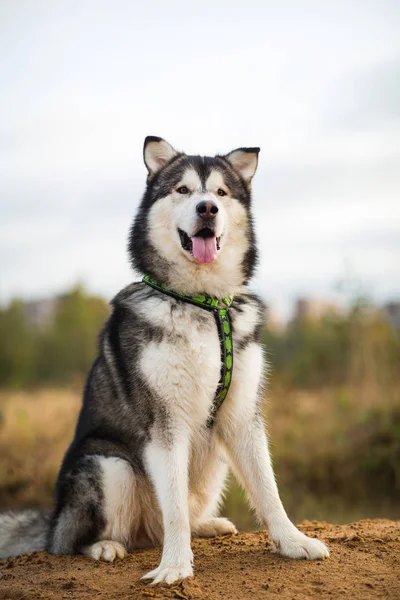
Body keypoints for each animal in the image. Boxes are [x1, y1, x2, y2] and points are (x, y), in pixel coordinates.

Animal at [0, 138, 328, 584]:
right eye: (183, 190)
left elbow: (268, 488)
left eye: (221, 192)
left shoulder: (243, 414)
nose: (208, 208)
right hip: (108, 466)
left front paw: (294, 542)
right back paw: (105, 546)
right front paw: (174, 566)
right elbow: (173, 507)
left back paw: (207, 525)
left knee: (181, 515)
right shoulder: (164, 421)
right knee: (76, 542)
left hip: (215, 457)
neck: (203, 302)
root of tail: (51, 521)